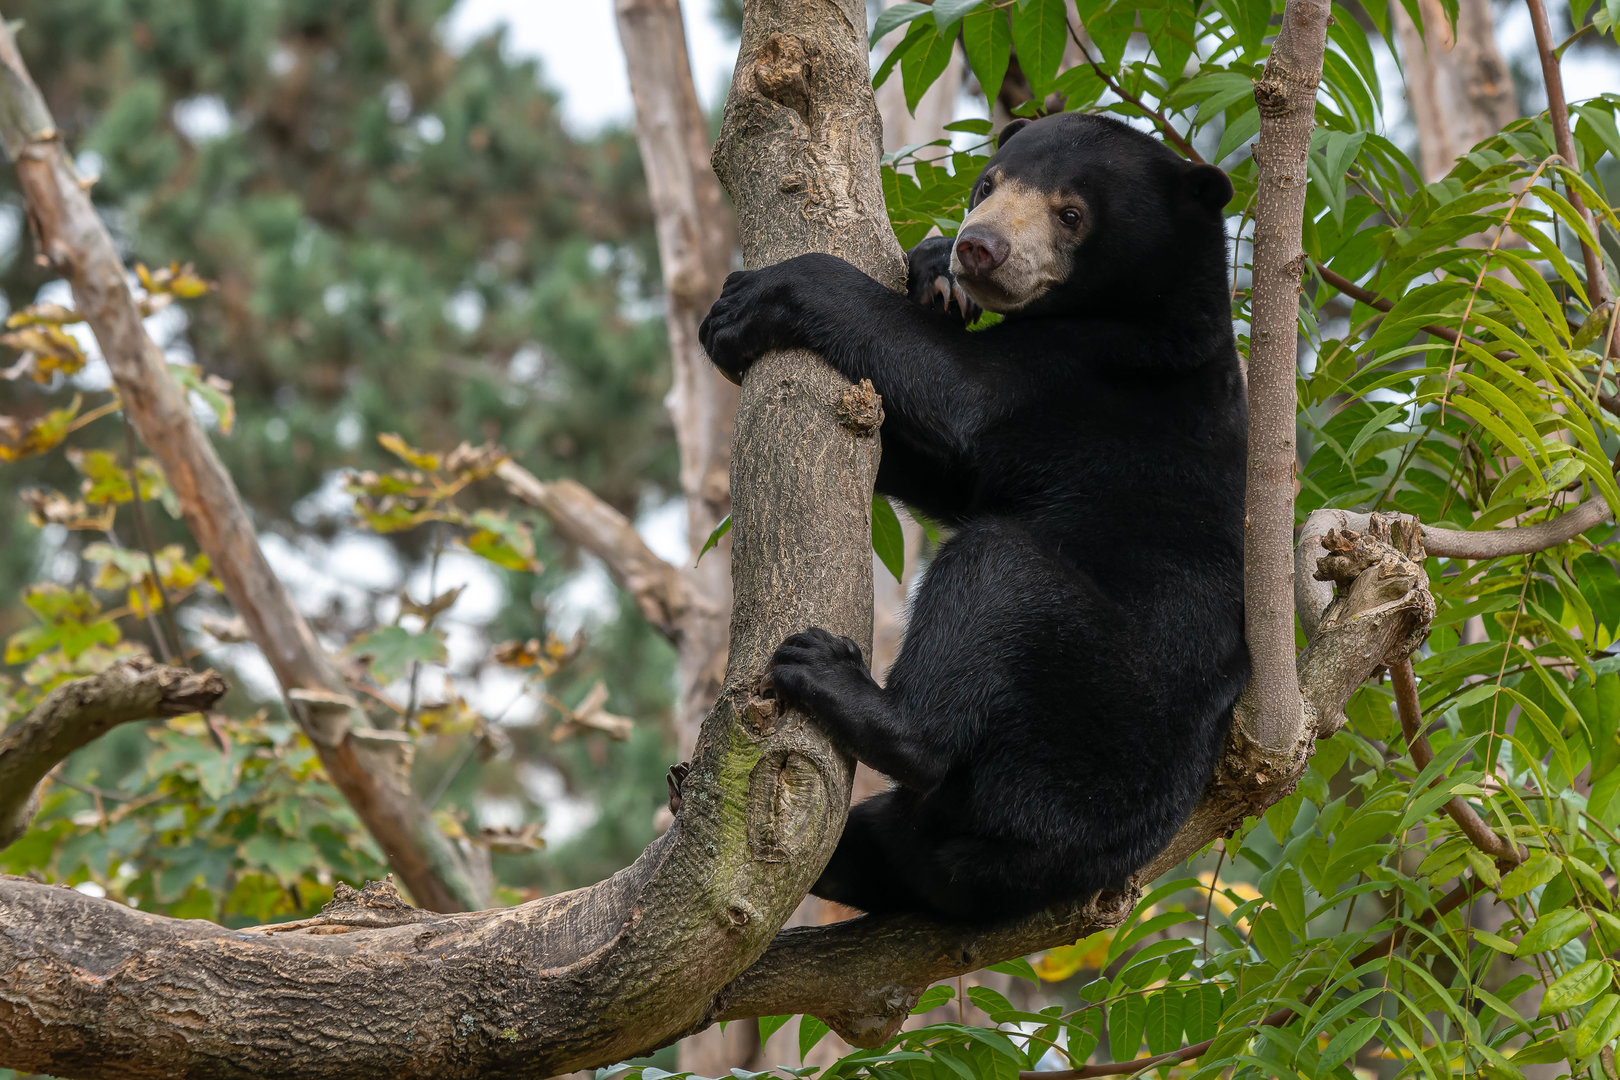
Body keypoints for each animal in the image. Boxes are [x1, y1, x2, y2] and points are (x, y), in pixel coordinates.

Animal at [698, 112, 1249, 925]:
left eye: (1071, 213)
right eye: (987, 184)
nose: (978, 247)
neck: (1136, 307)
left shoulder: (1098, 374)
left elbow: (960, 394)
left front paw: (743, 304)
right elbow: (948, 469)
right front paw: (932, 275)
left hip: (1095, 702)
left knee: (995, 575)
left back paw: (835, 679)